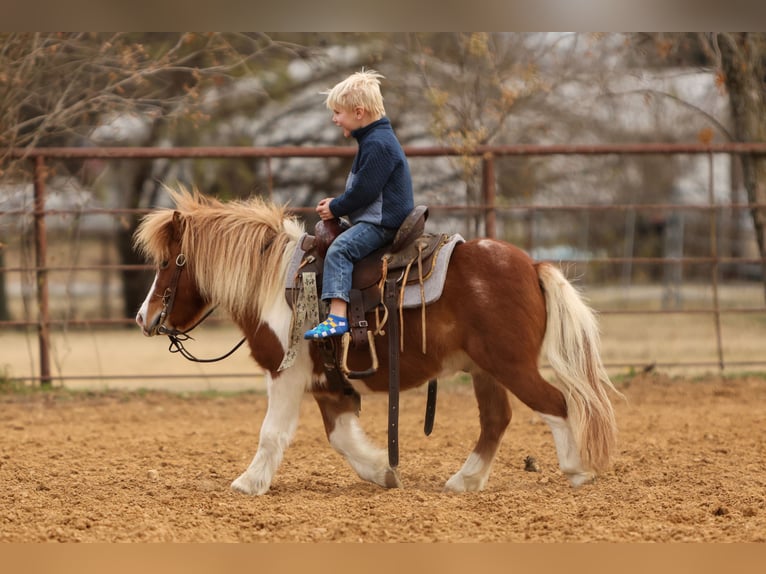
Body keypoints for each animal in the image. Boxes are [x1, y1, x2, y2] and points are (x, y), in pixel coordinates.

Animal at [133, 185, 620, 495]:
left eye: (167, 263)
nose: (144, 317)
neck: (276, 284)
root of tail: (532, 266)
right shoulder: (329, 386)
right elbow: (342, 439)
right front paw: (384, 473)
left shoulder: (286, 374)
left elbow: (272, 433)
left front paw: (248, 483)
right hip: (485, 369)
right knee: (496, 420)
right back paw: (464, 481)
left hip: (511, 365)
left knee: (556, 405)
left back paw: (577, 470)